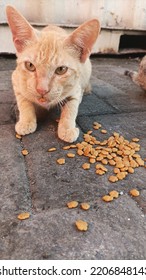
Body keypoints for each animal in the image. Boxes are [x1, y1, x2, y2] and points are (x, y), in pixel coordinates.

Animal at [6, 5, 100, 142]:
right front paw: (26, 121)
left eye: (61, 69)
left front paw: (67, 128)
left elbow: (71, 107)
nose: (42, 90)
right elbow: (24, 101)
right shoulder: (16, 79)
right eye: (30, 66)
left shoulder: (75, 89)